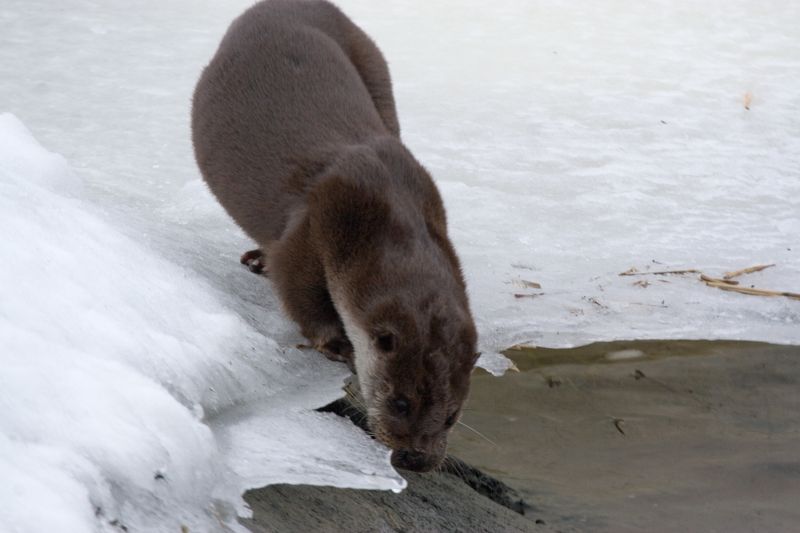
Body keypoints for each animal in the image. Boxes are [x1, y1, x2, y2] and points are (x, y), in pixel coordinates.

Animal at [192, 0, 482, 472]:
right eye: (401, 403)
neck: (390, 216)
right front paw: (338, 344)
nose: (416, 459)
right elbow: (297, 289)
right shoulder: (314, 223)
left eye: (451, 416)